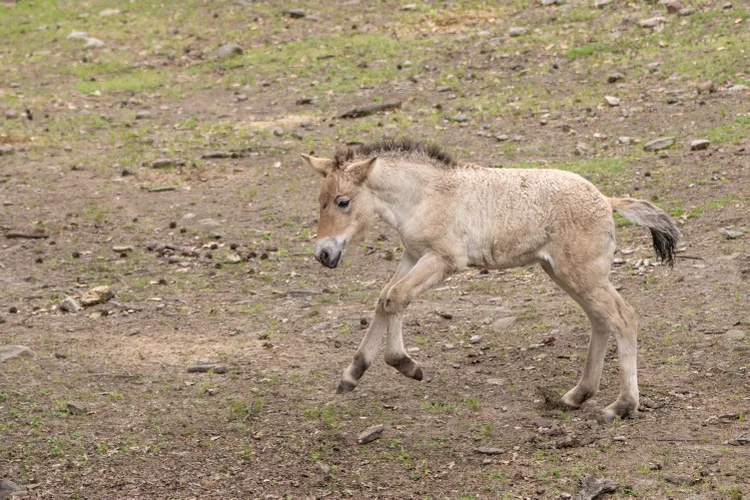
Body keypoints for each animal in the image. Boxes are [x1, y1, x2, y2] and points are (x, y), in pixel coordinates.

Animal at [302, 138, 679, 421]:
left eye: (343, 201)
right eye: (319, 201)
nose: (324, 254)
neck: (426, 194)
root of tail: (605, 199)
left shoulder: (443, 260)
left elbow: (396, 297)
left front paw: (406, 365)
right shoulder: (412, 254)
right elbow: (384, 299)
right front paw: (351, 375)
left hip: (581, 273)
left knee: (623, 317)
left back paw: (622, 406)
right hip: (564, 273)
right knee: (601, 321)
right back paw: (577, 395)